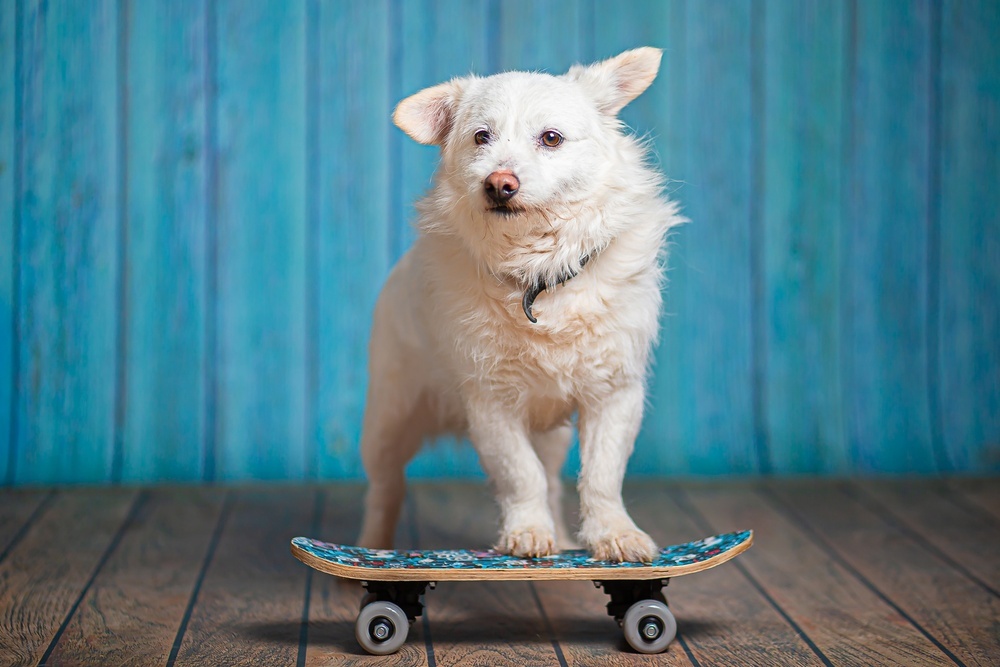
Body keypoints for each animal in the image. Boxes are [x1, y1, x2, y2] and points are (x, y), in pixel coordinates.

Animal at [358, 45, 680, 564]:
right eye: (480, 137)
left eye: (551, 139)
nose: (498, 182)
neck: (539, 277)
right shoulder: (491, 405)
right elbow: (518, 474)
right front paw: (527, 530)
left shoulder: (615, 395)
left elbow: (601, 475)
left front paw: (613, 533)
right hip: (389, 421)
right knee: (385, 488)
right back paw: (371, 546)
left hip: (552, 433)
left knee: (551, 479)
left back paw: (564, 538)